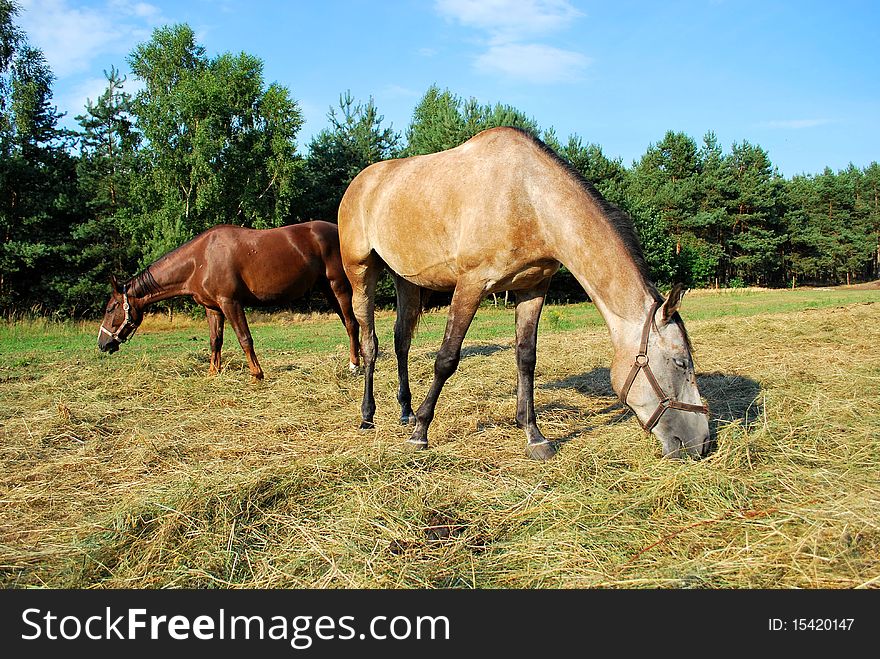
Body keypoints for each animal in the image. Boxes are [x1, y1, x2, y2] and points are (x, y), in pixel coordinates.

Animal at [96, 220, 358, 382]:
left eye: (110, 308)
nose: (102, 344)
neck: (200, 260)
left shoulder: (230, 303)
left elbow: (245, 339)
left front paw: (256, 374)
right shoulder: (213, 309)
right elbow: (215, 341)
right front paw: (214, 372)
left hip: (339, 287)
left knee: (352, 325)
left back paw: (355, 366)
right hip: (328, 290)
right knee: (350, 324)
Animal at [340, 126, 712, 462]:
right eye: (681, 362)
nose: (702, 444)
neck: (528, 198)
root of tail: (362, 181)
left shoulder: (532, 288)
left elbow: (526, 358)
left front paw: (533, 434)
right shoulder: (471, 285)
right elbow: (446, 359)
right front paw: (421, 432)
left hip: (406, 279)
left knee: (401, 341)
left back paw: (405, 410)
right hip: (361, 272)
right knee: (371, 343)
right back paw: (368, 415)